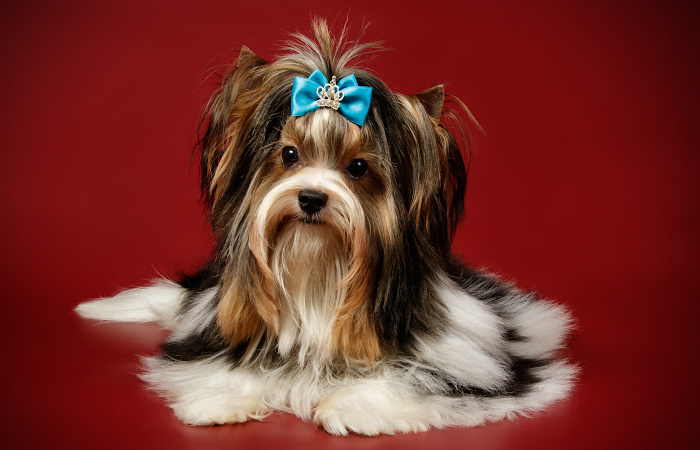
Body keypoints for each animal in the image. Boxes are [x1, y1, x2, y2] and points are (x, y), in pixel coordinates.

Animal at [76, 19, 576, 434]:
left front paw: (353, 408)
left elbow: (415, 379)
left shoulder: (466, 366)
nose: (312, 197)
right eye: (289, 154)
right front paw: (221, 401)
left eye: (357, 167)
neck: (317, 269)